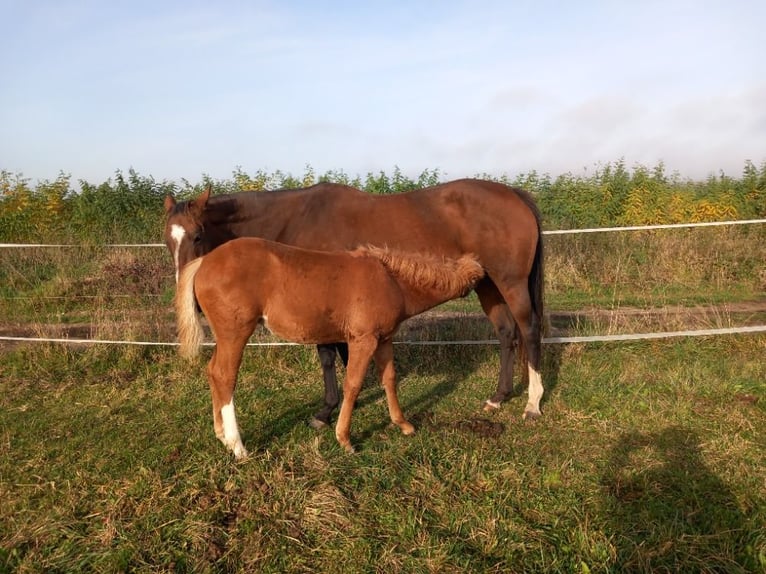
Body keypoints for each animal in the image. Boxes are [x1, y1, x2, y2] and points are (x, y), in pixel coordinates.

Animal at [164, 180, 544, 428]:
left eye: (197, 235)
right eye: (166, 239)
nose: (190, 297)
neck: (297, 217)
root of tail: (513, 193)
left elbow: (329, 357)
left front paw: (327, 411)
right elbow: (346, 356)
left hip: (510, 283)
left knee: (528, 330)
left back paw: (533, 403)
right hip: (487, 285)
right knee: (506, 333)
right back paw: (499, 396)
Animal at [177, 238, 484, 460]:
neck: (390, 279)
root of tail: (204, 261)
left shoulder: (384, 340)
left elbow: (389, 379)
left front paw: (404, 424)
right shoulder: (363, 340)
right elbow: (353, 384)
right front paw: (344, 439)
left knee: (213, 372)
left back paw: (221, 436)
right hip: (235, 334)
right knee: (225, 376)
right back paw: (238, 447)